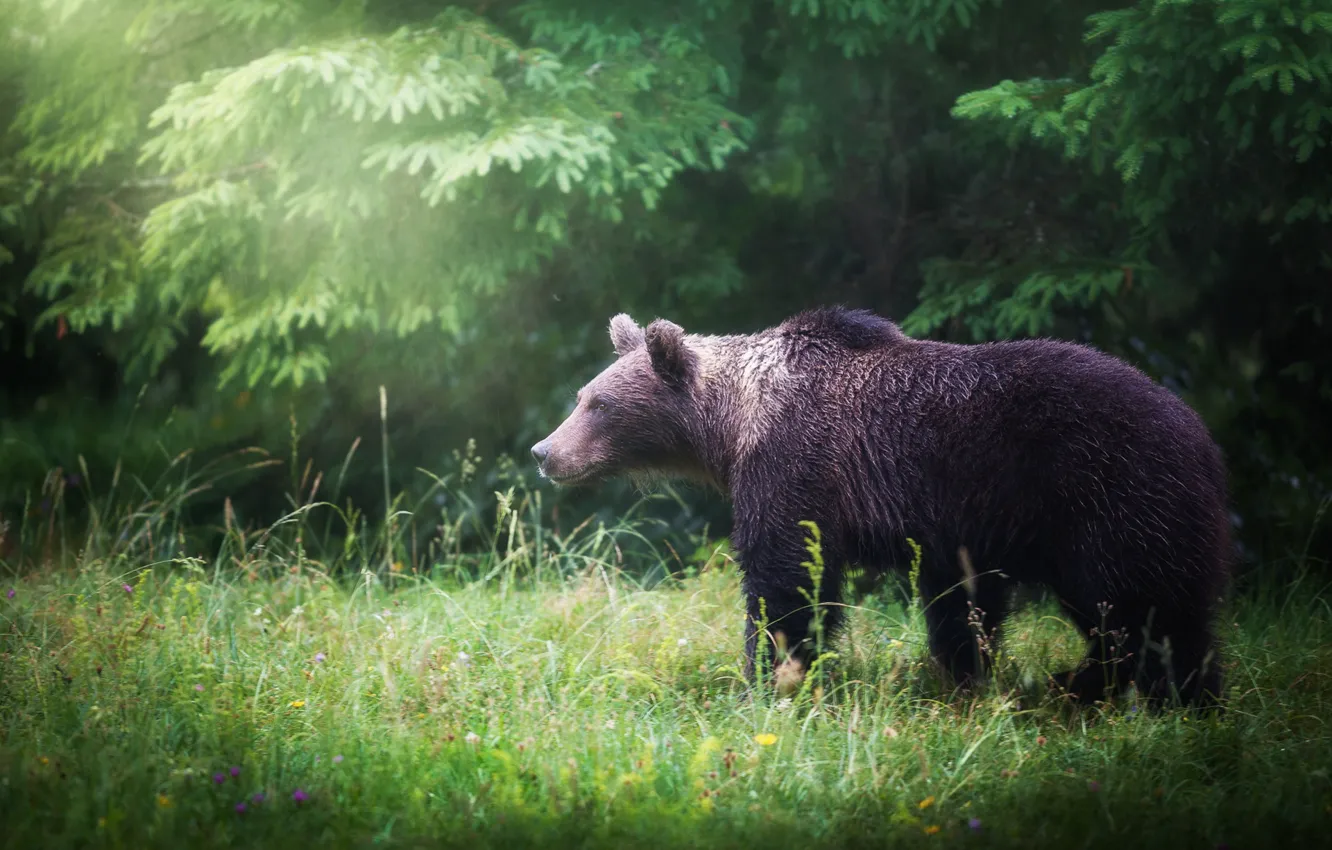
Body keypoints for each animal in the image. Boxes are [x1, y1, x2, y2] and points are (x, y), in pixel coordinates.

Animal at [531, 306, 1232, 708]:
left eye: (599, 404)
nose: (545, 451)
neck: (733, 428)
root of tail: (1201, 434)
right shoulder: (958, 526)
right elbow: (961, 604)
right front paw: (962, 675)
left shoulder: (798, 466)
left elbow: (786, 580)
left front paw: (769, 677)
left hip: (1109, 494)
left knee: (1143, 611)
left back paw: (1157, 694)